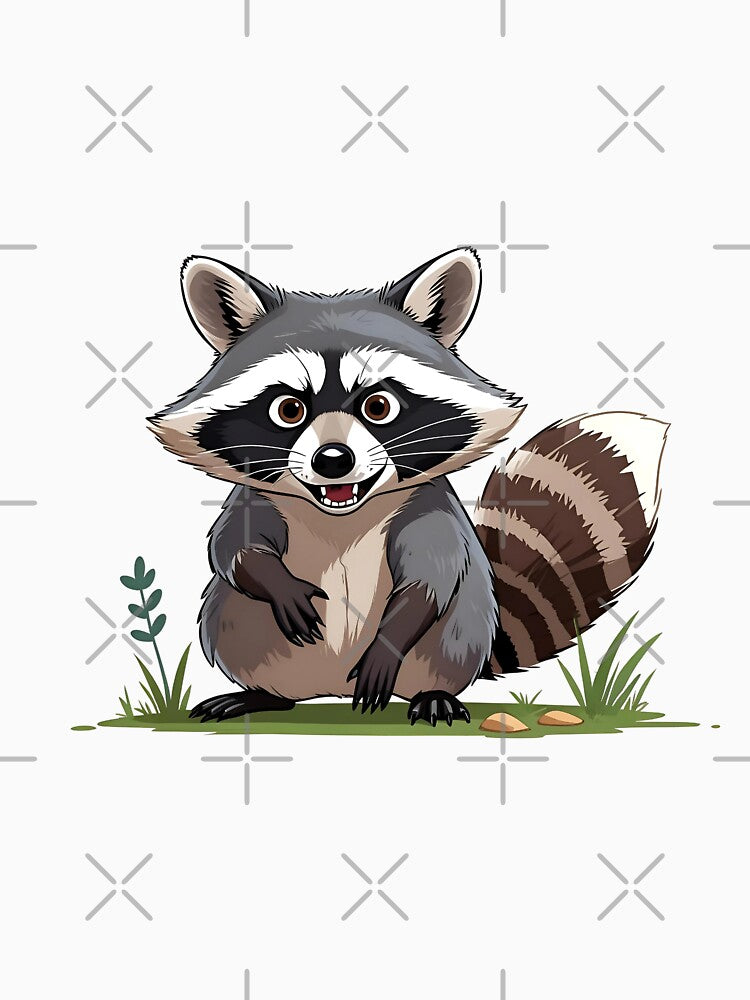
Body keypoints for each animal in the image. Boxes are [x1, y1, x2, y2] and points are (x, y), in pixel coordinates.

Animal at [149, 248, 668, 726]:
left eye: (378, 405)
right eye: (289, 409)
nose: (333, 461)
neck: (340, 514)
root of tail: (329, 688)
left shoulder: (428, 504)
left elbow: (432, 579)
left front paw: (389, 642)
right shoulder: (259, 497)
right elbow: (233, 548)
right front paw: (275, 581)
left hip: (458, 638)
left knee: (449, 636)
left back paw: (433, 694)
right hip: (240, 629)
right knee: (234, 624)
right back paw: (260, 694)